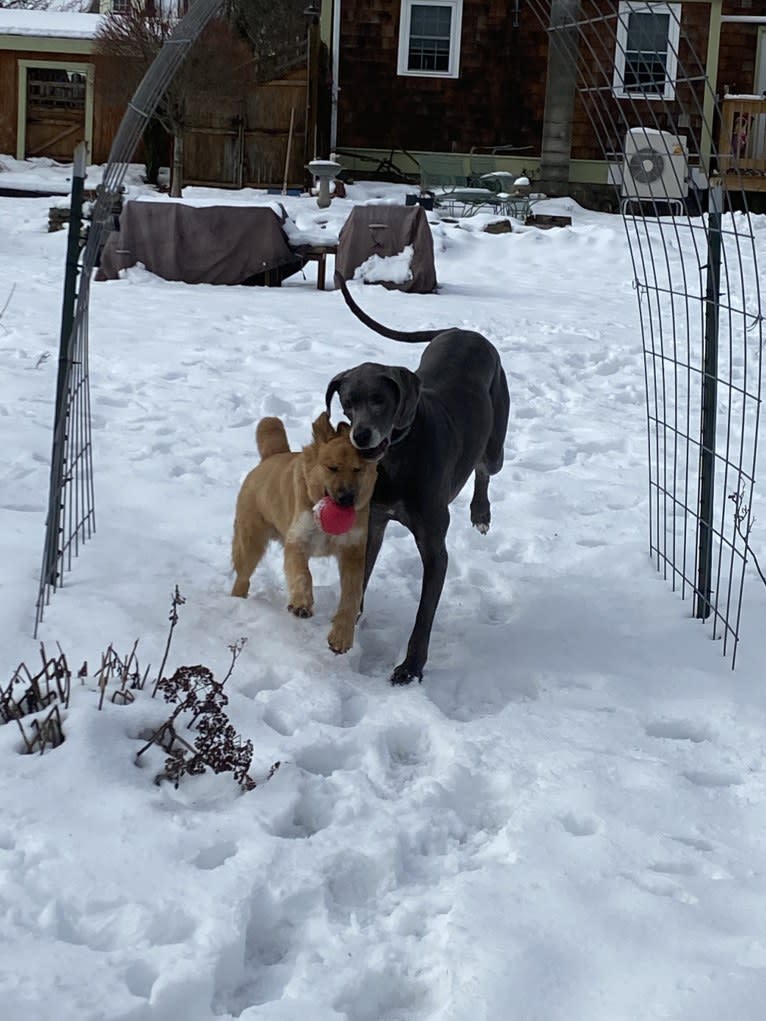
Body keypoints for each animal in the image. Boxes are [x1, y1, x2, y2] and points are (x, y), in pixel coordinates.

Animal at [232, 410, 379, 649]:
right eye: (332, 468)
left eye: (358, 470)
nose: (347, 499)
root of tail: (270, 457)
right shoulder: (297, 541)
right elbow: (303, 574)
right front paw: (302, 603)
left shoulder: (353, 552)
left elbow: (352, 596)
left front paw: (341, 635)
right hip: (250, 542)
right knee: (242, 577)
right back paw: (237, 602)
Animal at [324, 275, 510, 682]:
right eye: (347, 403)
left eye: (379, 400)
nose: (360, 436)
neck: (396, 459)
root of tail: (462, 332)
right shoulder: (372, 525)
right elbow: (357, 581)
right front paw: (346, 625)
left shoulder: (434, 548)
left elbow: (423, 617)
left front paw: (411, 667)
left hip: (495, 445)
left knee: (484, 468)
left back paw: (481, 513)